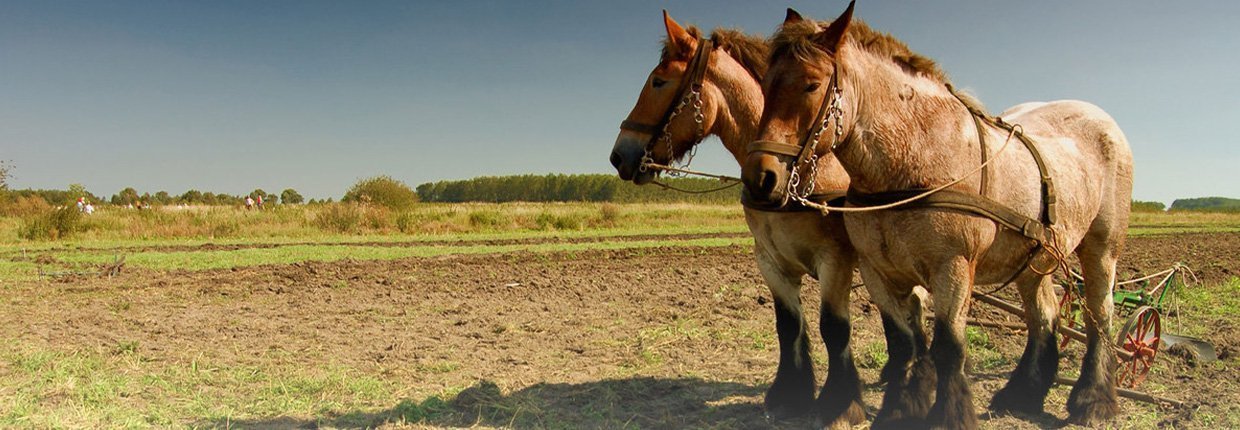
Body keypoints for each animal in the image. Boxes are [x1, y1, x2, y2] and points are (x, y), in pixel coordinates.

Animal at [605, 11, 887, 428]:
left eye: (659, 81)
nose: (619, 155)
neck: (797, 168)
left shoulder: (835, 260)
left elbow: (834, 328)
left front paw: (841, 405)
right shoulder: (769, 259)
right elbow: (789, 325)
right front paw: (789, 396)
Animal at [739, 2, 1135, 428]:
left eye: (812, 85)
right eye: (765, 84)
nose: (761, 177)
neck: (915, 157)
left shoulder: (953, 268)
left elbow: (948, 347)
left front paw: (949, 415)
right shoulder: (878, 270)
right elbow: (903, 344)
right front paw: (899, 410)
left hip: (1102, 248)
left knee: (1100, 315)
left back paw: (1094, 399)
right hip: (1035, 260)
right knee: (1044, 315)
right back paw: (1022, 395)